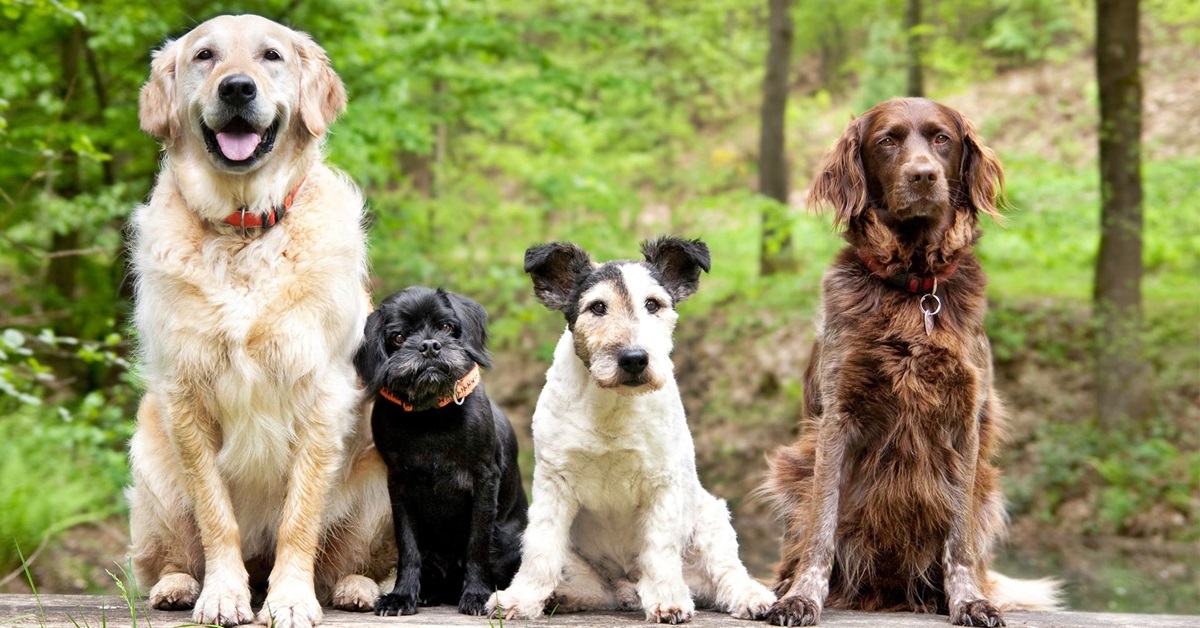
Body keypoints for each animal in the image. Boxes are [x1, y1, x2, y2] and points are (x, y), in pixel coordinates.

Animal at [352, 286, 528, 614]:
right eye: (398, 337)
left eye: (446, 327)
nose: (430, 345)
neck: (430, 415)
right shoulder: (399, 485)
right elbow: (408, 548)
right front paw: (402, 596)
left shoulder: (484, 480)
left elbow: (477, 545)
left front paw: (476, 595)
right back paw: (426, 592)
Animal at [758, 97, 1060, 624]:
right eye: (887, 141)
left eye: (942, 139)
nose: (923, 176)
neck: (915, 290)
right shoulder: (838, 417)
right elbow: (821, 526)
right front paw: (802, 596)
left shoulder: (964, 421)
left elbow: (958, 540)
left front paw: (968, 599)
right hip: (792, 467)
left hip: (988, 487)